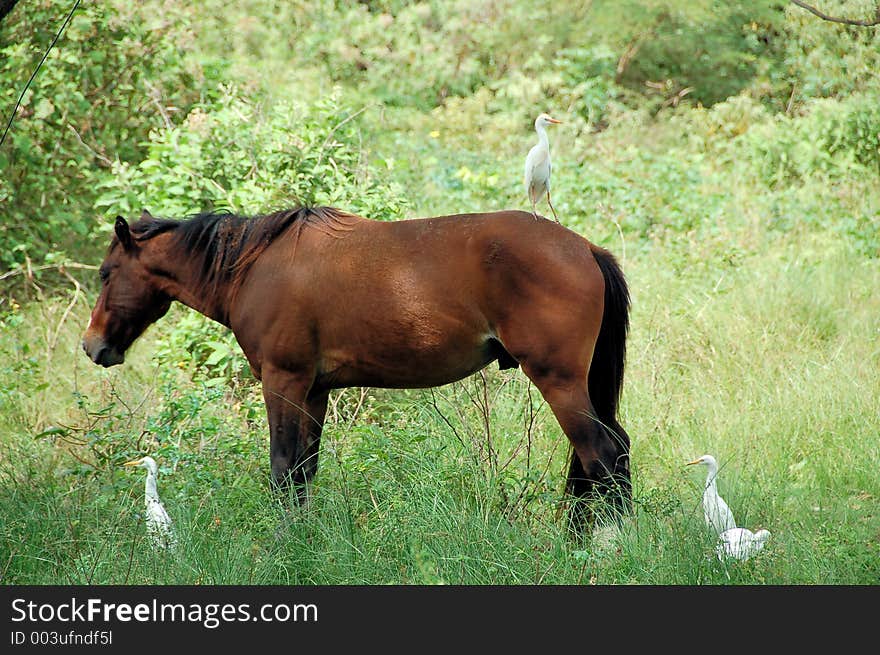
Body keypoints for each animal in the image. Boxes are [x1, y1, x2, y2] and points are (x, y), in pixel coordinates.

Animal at [82, 208, 632, 532]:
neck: (254, 266)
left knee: (602, 455)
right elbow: (303, 470)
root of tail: (584, 248)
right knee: (611, 451)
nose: (92, 346)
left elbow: (282, 469)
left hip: (559, 382)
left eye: (107, 273)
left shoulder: (283, 381)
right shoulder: (314, 389)